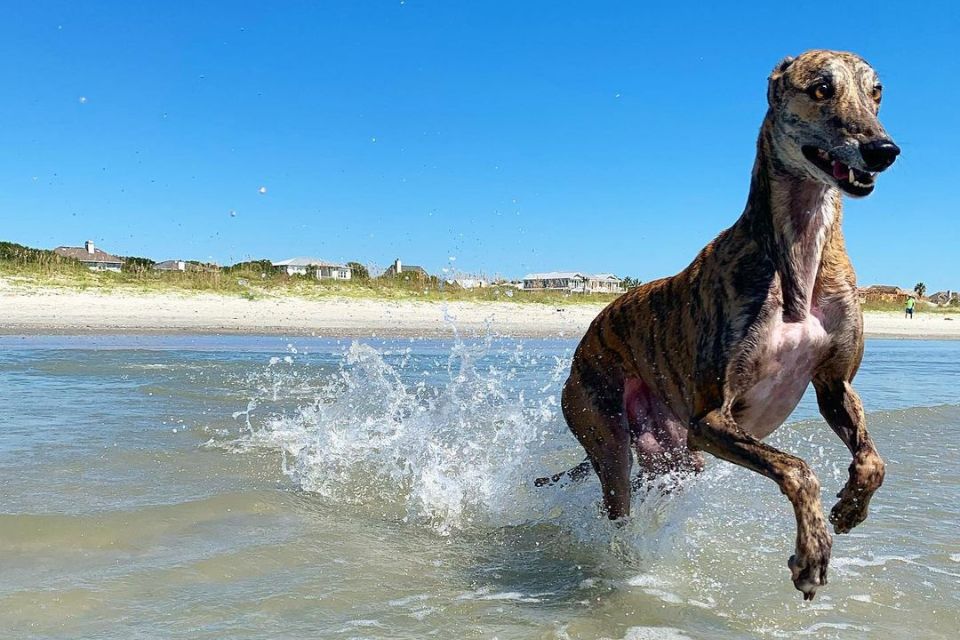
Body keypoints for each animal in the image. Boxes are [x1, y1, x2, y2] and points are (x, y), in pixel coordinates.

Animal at [540, 51, 900, 600]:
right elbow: (798, 469)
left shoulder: (834, 385)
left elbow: (872, 461)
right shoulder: (711, 419)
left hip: (674, 459)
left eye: (876, 91)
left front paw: (850, 507)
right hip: (605, 429)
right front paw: (812, 552)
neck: (797, 255)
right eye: (821, 88)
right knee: (617, 500)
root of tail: (586, 342)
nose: (884, 150)